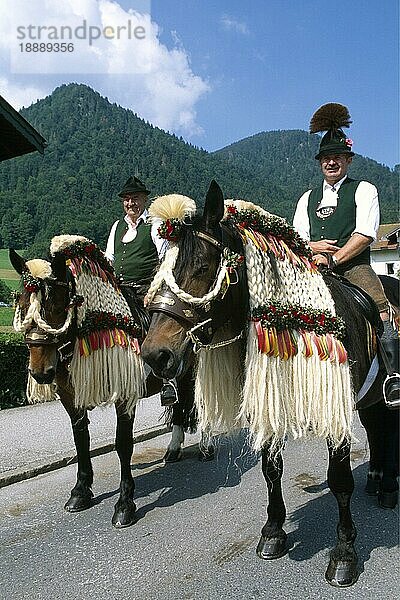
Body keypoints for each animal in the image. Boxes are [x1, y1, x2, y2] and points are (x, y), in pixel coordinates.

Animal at [9, 234, 208, 528]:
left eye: (59, 305)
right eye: (21, 305)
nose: (41, 372)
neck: (98, 326)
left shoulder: (124, 397)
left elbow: (123, 444)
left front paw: (125, 504)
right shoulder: (71, 398)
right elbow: (81, 440)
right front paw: (81, 492)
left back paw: (207, 447)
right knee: (181, 407)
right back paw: (173, 449)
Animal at [142, 182, 398, 584]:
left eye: (202, 266)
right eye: (160, 270)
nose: (156, 355)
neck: (299, 320)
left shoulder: (336, 410)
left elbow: (340, 480)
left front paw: (343, 553)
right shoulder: (269, 404)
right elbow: (270, 470)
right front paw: (274, 532)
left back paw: (387, 488)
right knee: (377, 427)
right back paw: (376, 478)